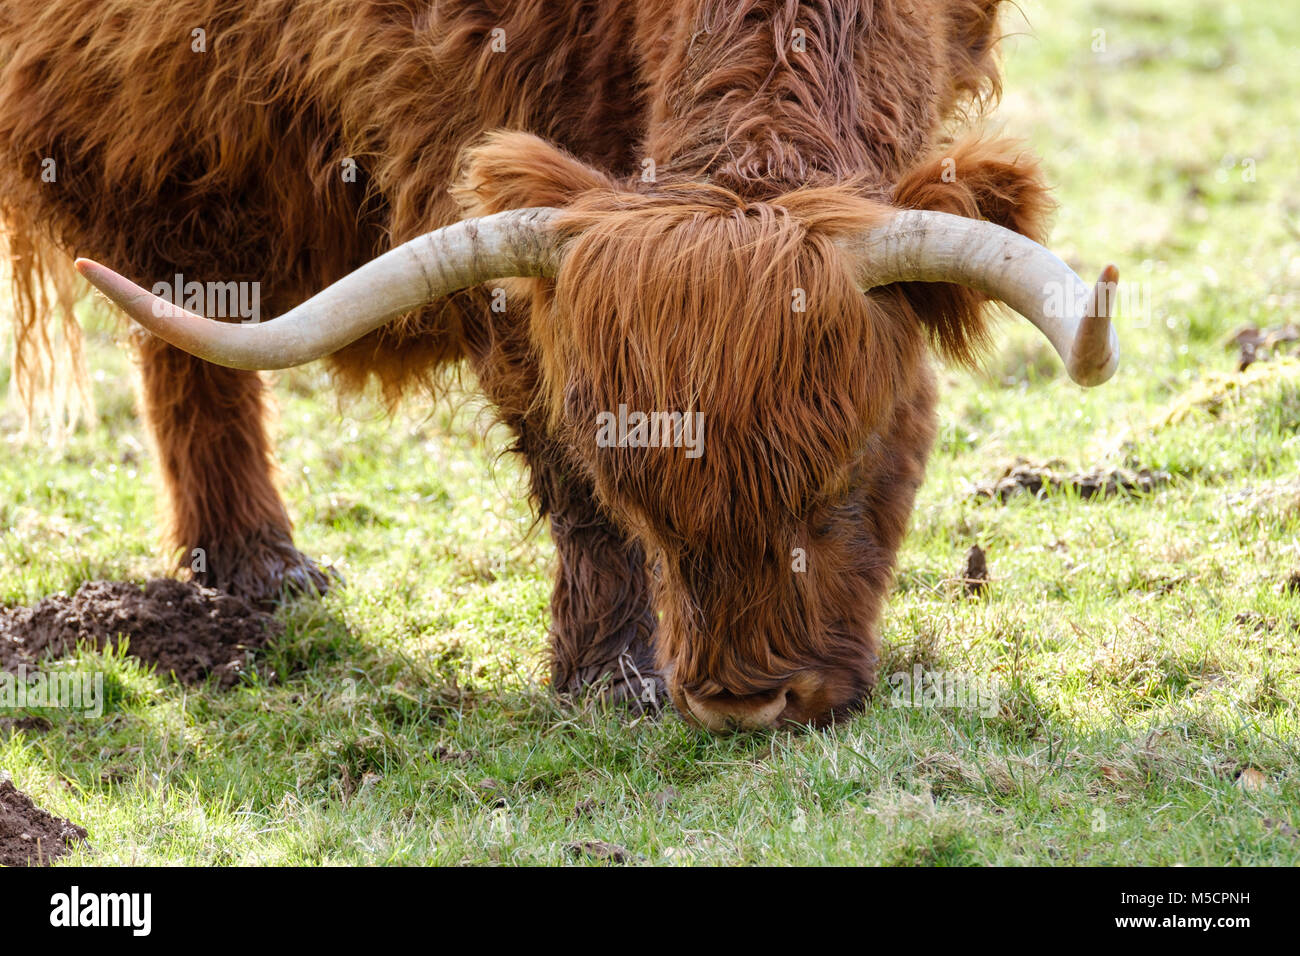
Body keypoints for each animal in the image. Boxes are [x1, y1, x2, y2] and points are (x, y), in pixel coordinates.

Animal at [0, 0, 1117, 730]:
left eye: (854, 470)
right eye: (641, 495)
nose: (749, 700)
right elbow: (558, 459)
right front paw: (614, 675)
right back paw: (260, 568)